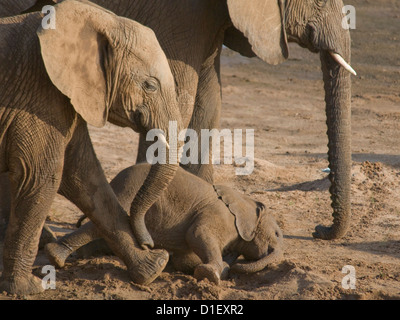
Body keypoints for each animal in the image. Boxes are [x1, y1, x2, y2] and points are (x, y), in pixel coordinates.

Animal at [0, 0, 183, 296]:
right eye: (150, 85)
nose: (149, 242)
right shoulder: (37, 93)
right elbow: (42, 177)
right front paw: (28, 288)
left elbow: (83, 176)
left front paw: (154, 268)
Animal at [46, 164, 284, 284]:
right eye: (278, 234)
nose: (234, 265)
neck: (246, 201)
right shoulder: (218, 216)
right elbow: (196, 234)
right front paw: (212, 275)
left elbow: (184, 258)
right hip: (130, 188)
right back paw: (57, 257)